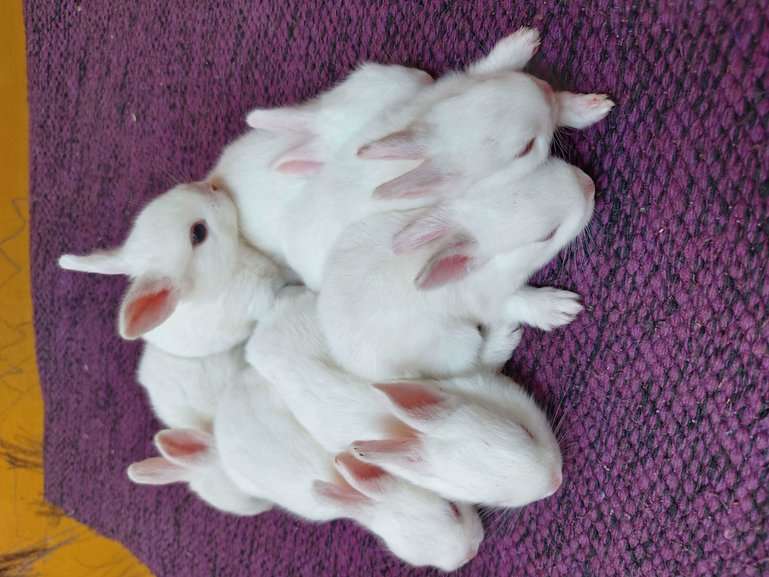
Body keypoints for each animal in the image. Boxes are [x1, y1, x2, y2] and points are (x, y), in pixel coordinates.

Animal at [318, 157, 595, 381]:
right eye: (547, 235)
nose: (590, 185)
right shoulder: (488, 301)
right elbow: (518, 302)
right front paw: (558, 308)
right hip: (460, 342)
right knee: (477, 366)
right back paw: (504, 337)